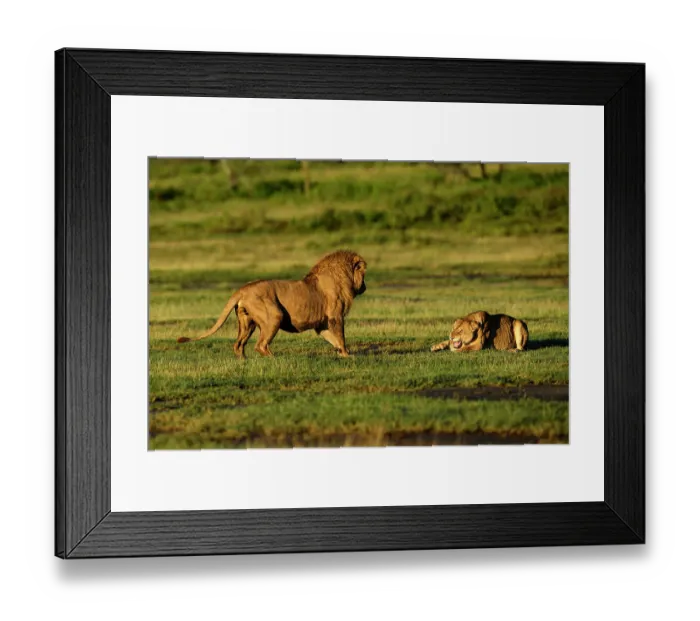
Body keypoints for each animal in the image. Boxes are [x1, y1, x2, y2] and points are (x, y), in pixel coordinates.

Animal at [176, 250, 367, 358]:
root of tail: (243, 289)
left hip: (248, 322)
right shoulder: (336, 316)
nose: (365, 287)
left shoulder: (322, 323)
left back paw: (244, 361)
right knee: (260, 345)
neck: (343, 276)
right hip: (274, 315)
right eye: (364, 275)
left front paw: (342, 354)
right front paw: (348, 355)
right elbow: (341, 336)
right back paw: (275, 359)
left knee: (238, 344)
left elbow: (332, 338)